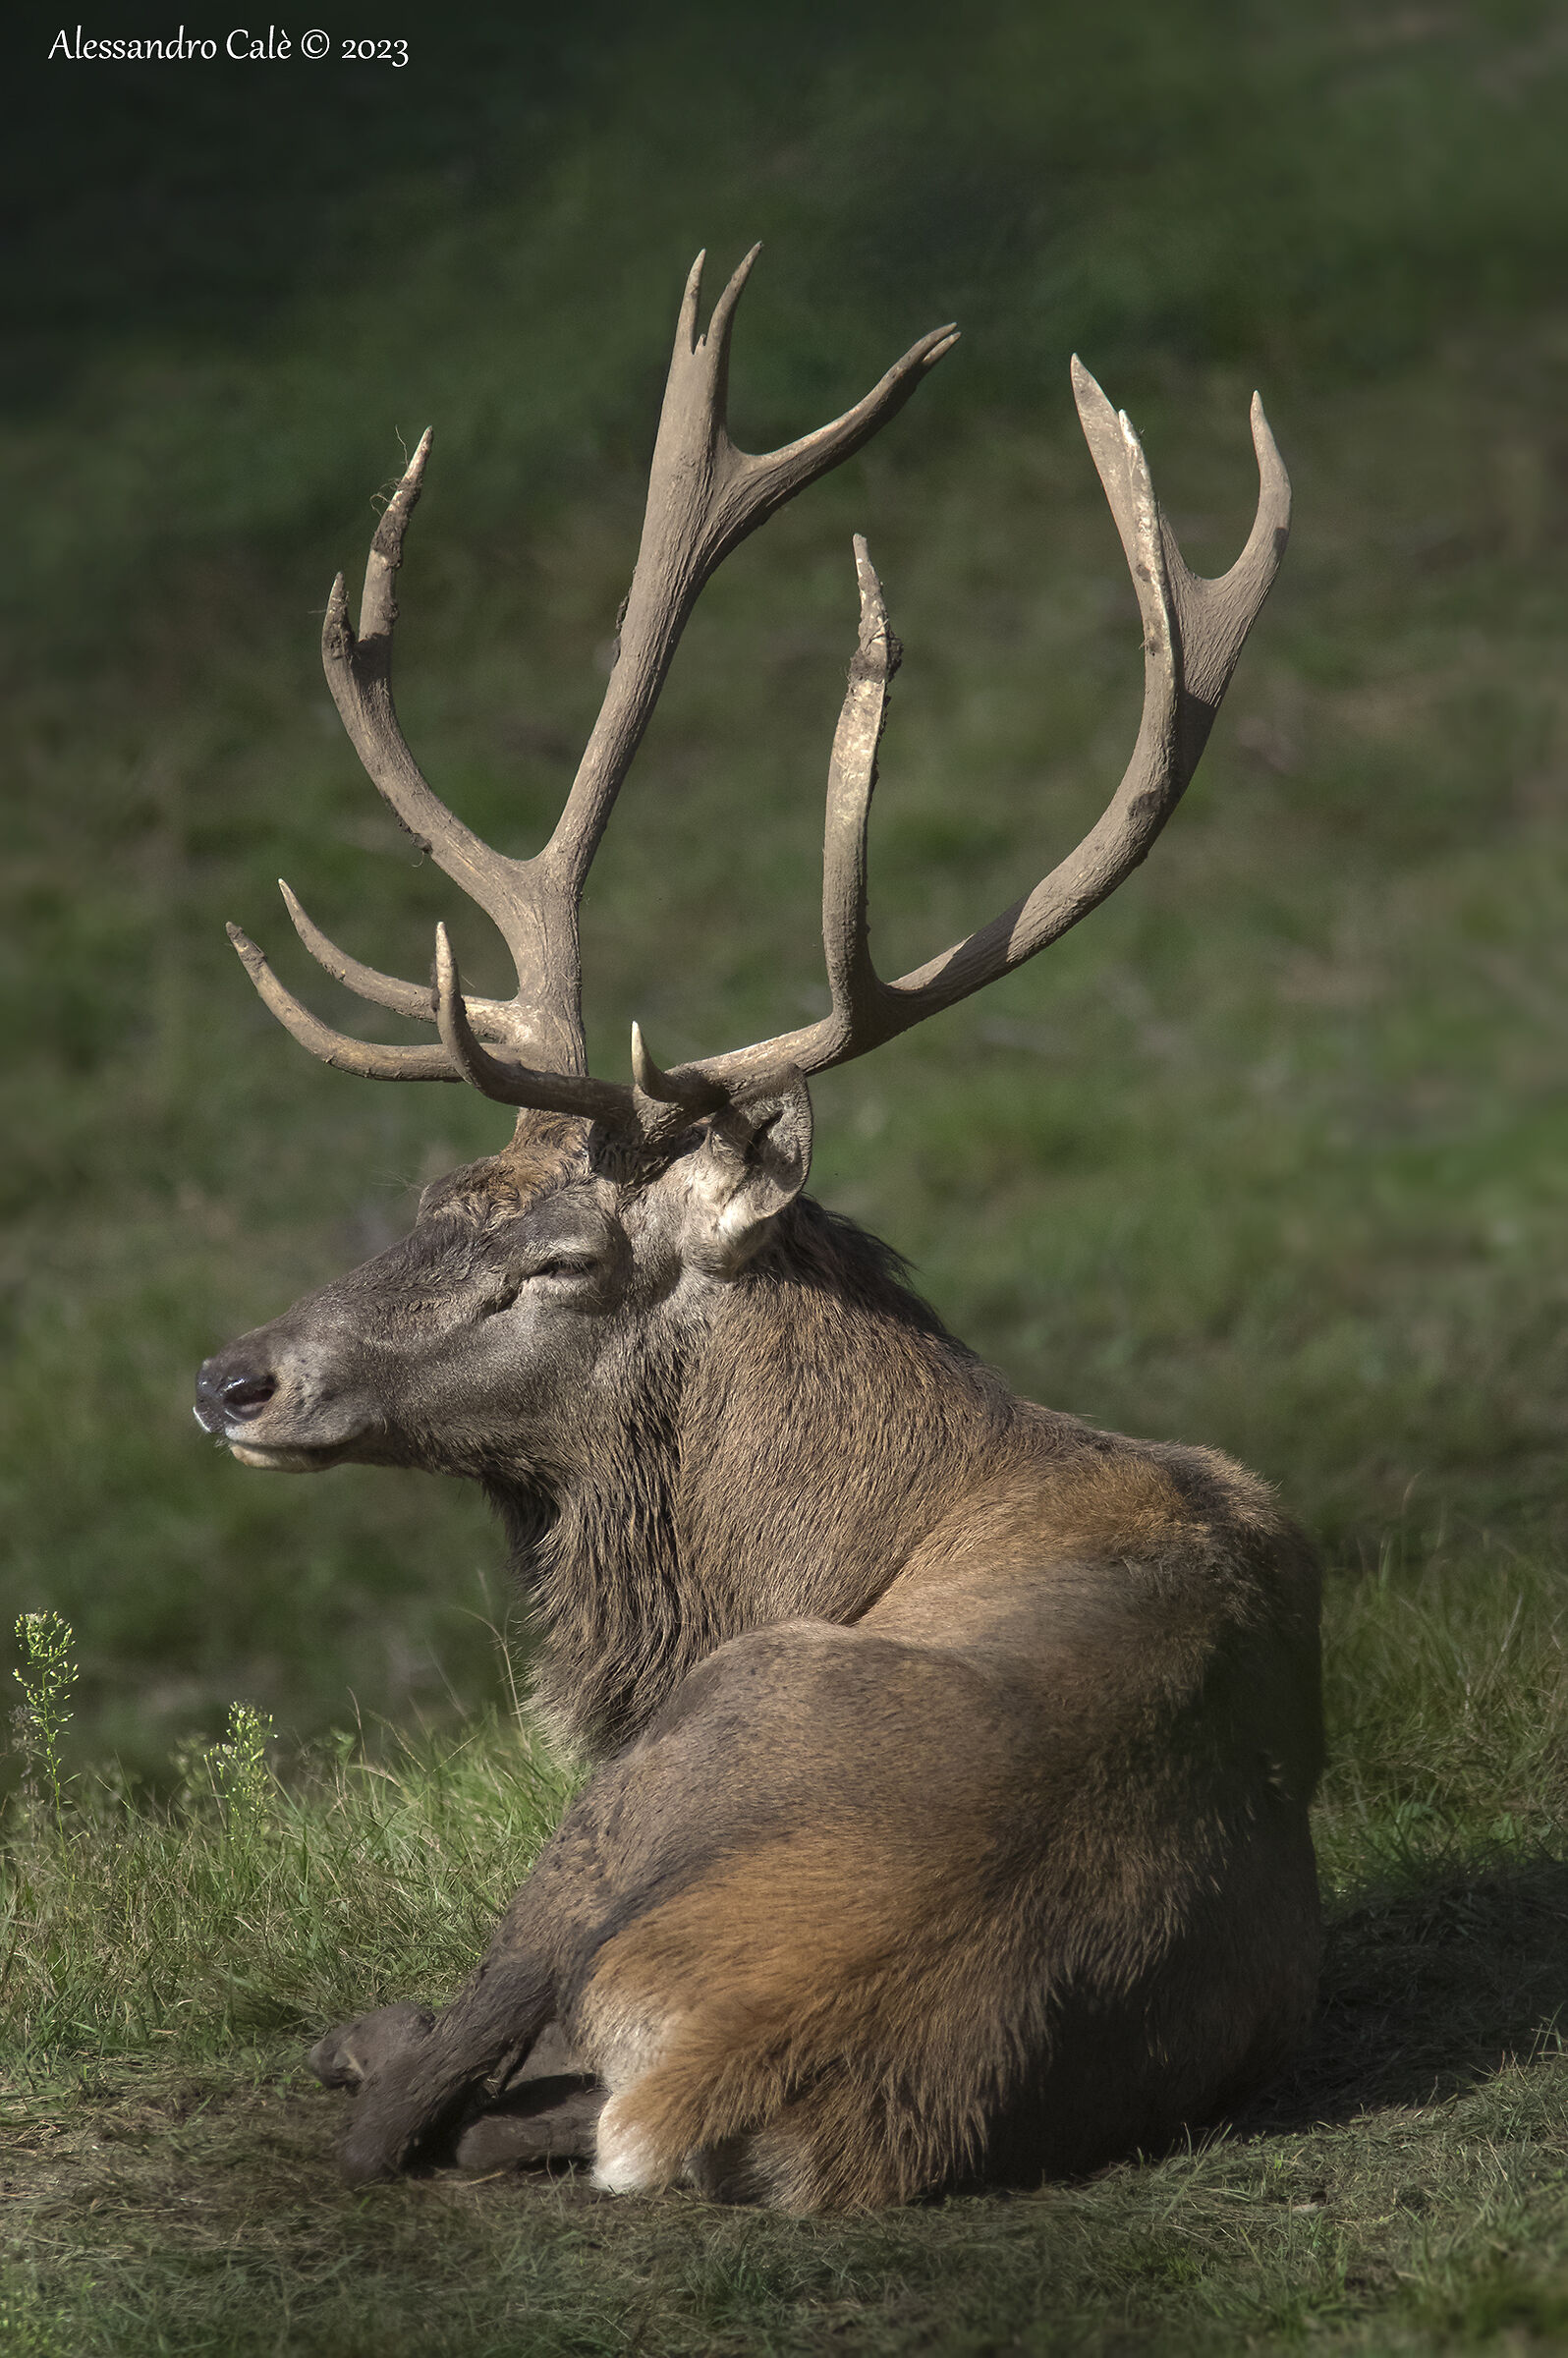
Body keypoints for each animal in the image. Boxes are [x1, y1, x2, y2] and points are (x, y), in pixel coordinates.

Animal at [193, 248, 1319, 2209]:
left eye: (559, 1265)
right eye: (432, 1198)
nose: (235, 1380)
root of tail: (742, 2062)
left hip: (644, 1795)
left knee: (418, 2103)